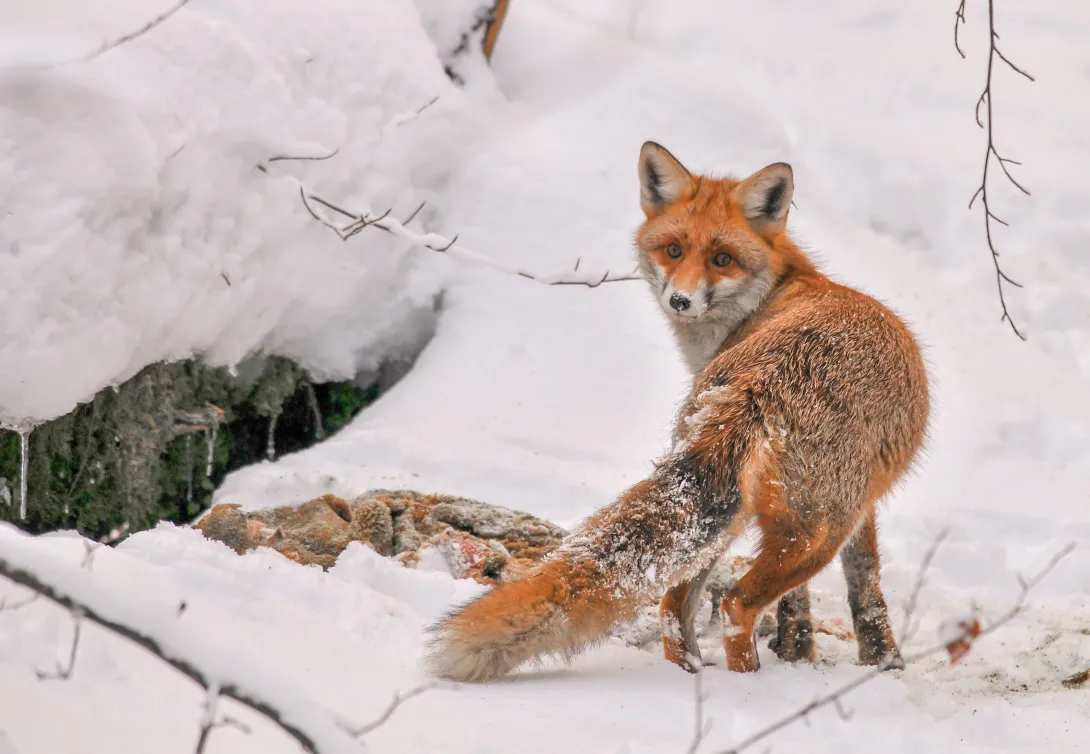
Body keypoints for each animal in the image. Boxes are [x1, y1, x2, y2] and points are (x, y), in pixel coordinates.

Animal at [424, 142, 930, 682]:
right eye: (673, 250)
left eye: (722, 259)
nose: (681, 300)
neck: (773, 295)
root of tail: (761, 383)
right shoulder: (858, 508)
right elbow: (865, 582)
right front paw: (879, 662)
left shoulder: (833, 504)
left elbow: (820, 598)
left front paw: (813, 654)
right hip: (814, 530)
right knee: (734, 605)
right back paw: (748, 683)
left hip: (732, 517)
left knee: (672, 603)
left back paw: (686, 675)